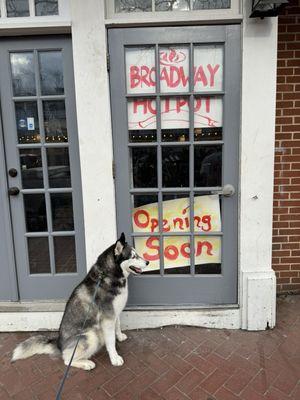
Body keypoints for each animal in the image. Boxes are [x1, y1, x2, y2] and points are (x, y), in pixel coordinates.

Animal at [11, 233, 149, 370]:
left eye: (137, 254)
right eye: (133, 256)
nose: (147, 262)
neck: (107, 275)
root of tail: (59, 344)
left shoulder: (114, 312)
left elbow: (118, 324)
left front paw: (119, 336)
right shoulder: (107, 317)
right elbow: (110, 341)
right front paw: (115, 358)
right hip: (91, 336)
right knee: (67, 359)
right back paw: (86, 363)